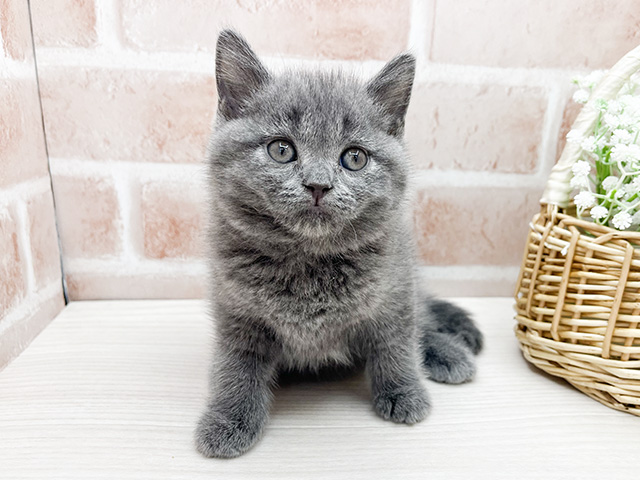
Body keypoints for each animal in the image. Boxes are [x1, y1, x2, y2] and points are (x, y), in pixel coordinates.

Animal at [195, 30, 480, 458]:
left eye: (355, 157)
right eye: (281, 149)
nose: (318, 184)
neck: (308, 260)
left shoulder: (393, 291)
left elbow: (396, 343)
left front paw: (405, 392)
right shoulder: (236, 312)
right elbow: (235, 366)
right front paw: (228, 420)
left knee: (423, 319)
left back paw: (447, 354)